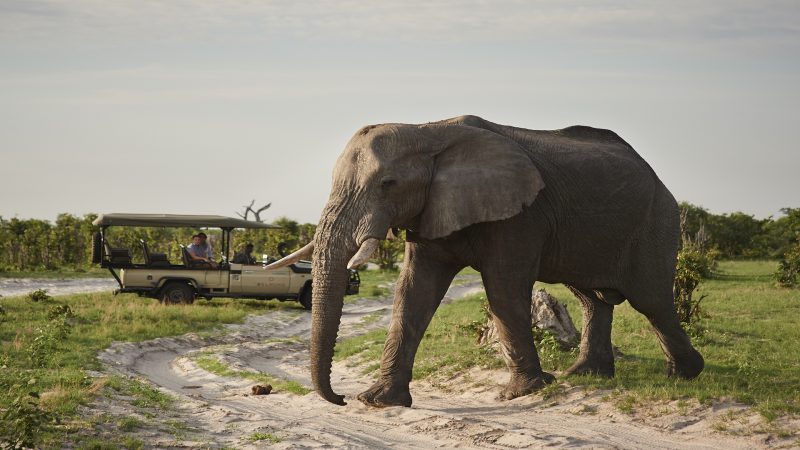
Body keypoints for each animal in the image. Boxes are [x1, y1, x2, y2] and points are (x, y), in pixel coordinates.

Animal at [270, 113, 708, 408]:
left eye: (388, 184)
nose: (340, 398)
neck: (429, 130)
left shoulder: (520, 214)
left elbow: (503, 288)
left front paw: (523, 393)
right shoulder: (431, 210)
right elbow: (414, 291)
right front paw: (379, 401)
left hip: (658, 220)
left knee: (651, 300)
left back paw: (686, 374)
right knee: (592, 298)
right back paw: (585, 374)